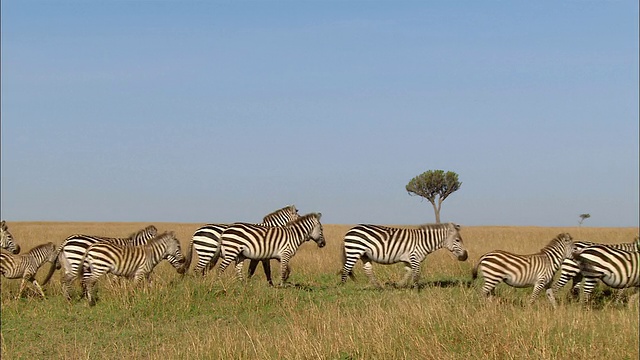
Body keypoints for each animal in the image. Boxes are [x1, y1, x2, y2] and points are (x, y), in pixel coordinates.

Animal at [340, 221, 470, 288]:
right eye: (457, 240)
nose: (465, 257)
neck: (424, 241)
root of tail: (350, 230)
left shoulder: (408, 260)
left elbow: (408, 273)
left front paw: (400, 285)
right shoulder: (415, 258)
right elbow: (416, 274)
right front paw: (417, 290)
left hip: (365, 255)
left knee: (367, 270)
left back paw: (378, 287)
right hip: (354, 251)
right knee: (346, 269)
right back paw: (343, 287)